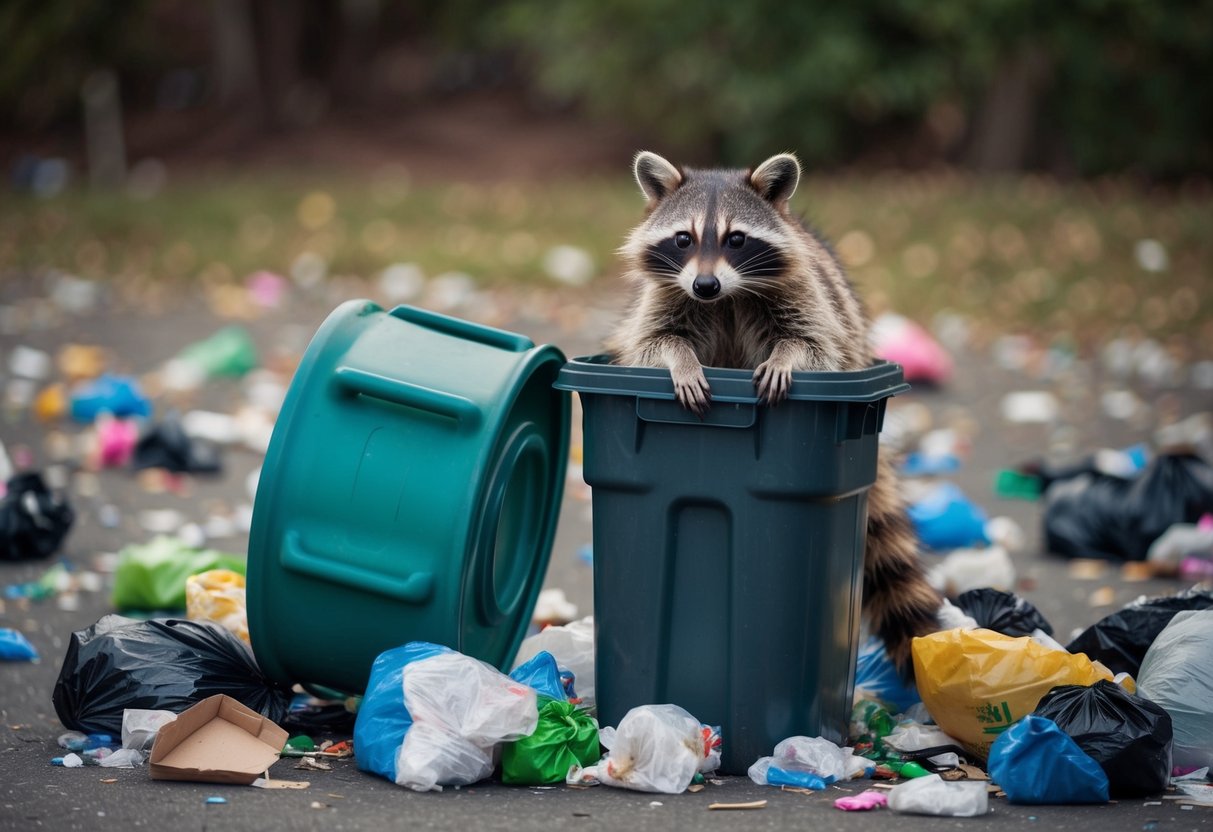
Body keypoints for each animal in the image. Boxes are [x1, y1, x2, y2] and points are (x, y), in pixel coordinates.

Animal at [607, 150, 940, 672]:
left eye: (736, 239)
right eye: (683, 239)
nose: (705, 285)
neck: (725, 298)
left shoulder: (806, 296)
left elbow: (814, 345)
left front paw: (786, 357)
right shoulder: (663, 299)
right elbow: (650, 343)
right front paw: (681, 360)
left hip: (850, 327)